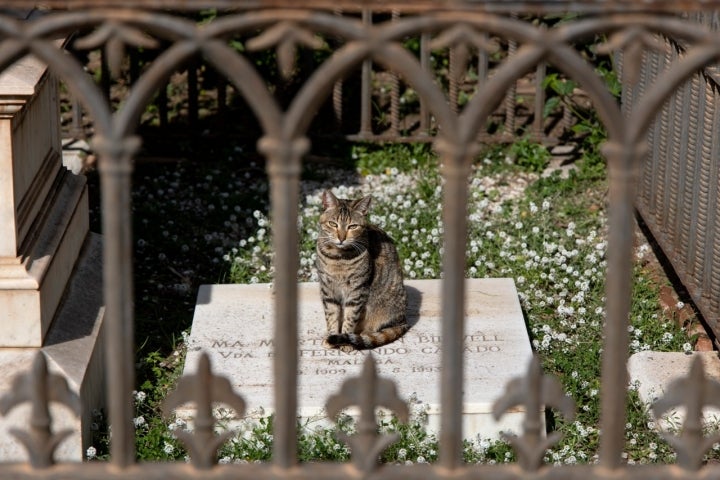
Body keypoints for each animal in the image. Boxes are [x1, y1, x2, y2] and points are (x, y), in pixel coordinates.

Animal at [316, 189, 410, 350]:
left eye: (352, 226)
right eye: (333, 224)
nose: (341, 238)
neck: (339, 258)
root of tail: (403, 321)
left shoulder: (357, 290)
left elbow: (349, 318)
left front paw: (344, 341)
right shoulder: (328, 288)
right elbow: (332, 315)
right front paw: (332, 336)